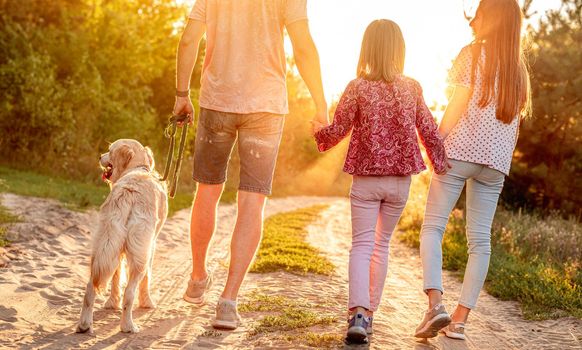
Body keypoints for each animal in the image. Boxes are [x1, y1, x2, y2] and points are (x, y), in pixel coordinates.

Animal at [76, 139, 168, 334]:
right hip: (140, 254)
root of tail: (129, 192)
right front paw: (147, 303)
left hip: (104, 244)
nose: (99, 156)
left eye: (110, 151)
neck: (138, 168)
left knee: (90, 287)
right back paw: (128, 326)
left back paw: (85, 325)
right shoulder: (152, 245)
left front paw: (111, 304)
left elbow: (116, 278)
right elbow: (147, 277)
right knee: (130, 293)